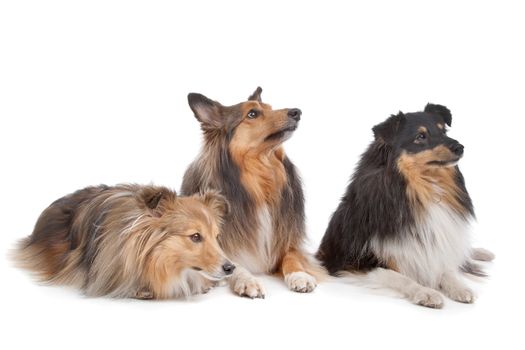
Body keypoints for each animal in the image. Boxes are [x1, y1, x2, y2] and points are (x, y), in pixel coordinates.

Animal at [182, 87, 326, 298]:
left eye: (270, 108)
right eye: (252, 114)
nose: (297, 112)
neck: (259, 182)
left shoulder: (287, 240)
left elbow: (292, 257)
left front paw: (299, 275)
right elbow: (234, 265)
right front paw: (248, 281)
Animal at [318, 104, 494, 308]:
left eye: (443, 131)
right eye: (420, 136)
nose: (460, 147)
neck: (422, 189)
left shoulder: (436, 247)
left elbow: (446, 269)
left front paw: (460, 287)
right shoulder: (354, 262)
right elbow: (398, 277)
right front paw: (425, 292)